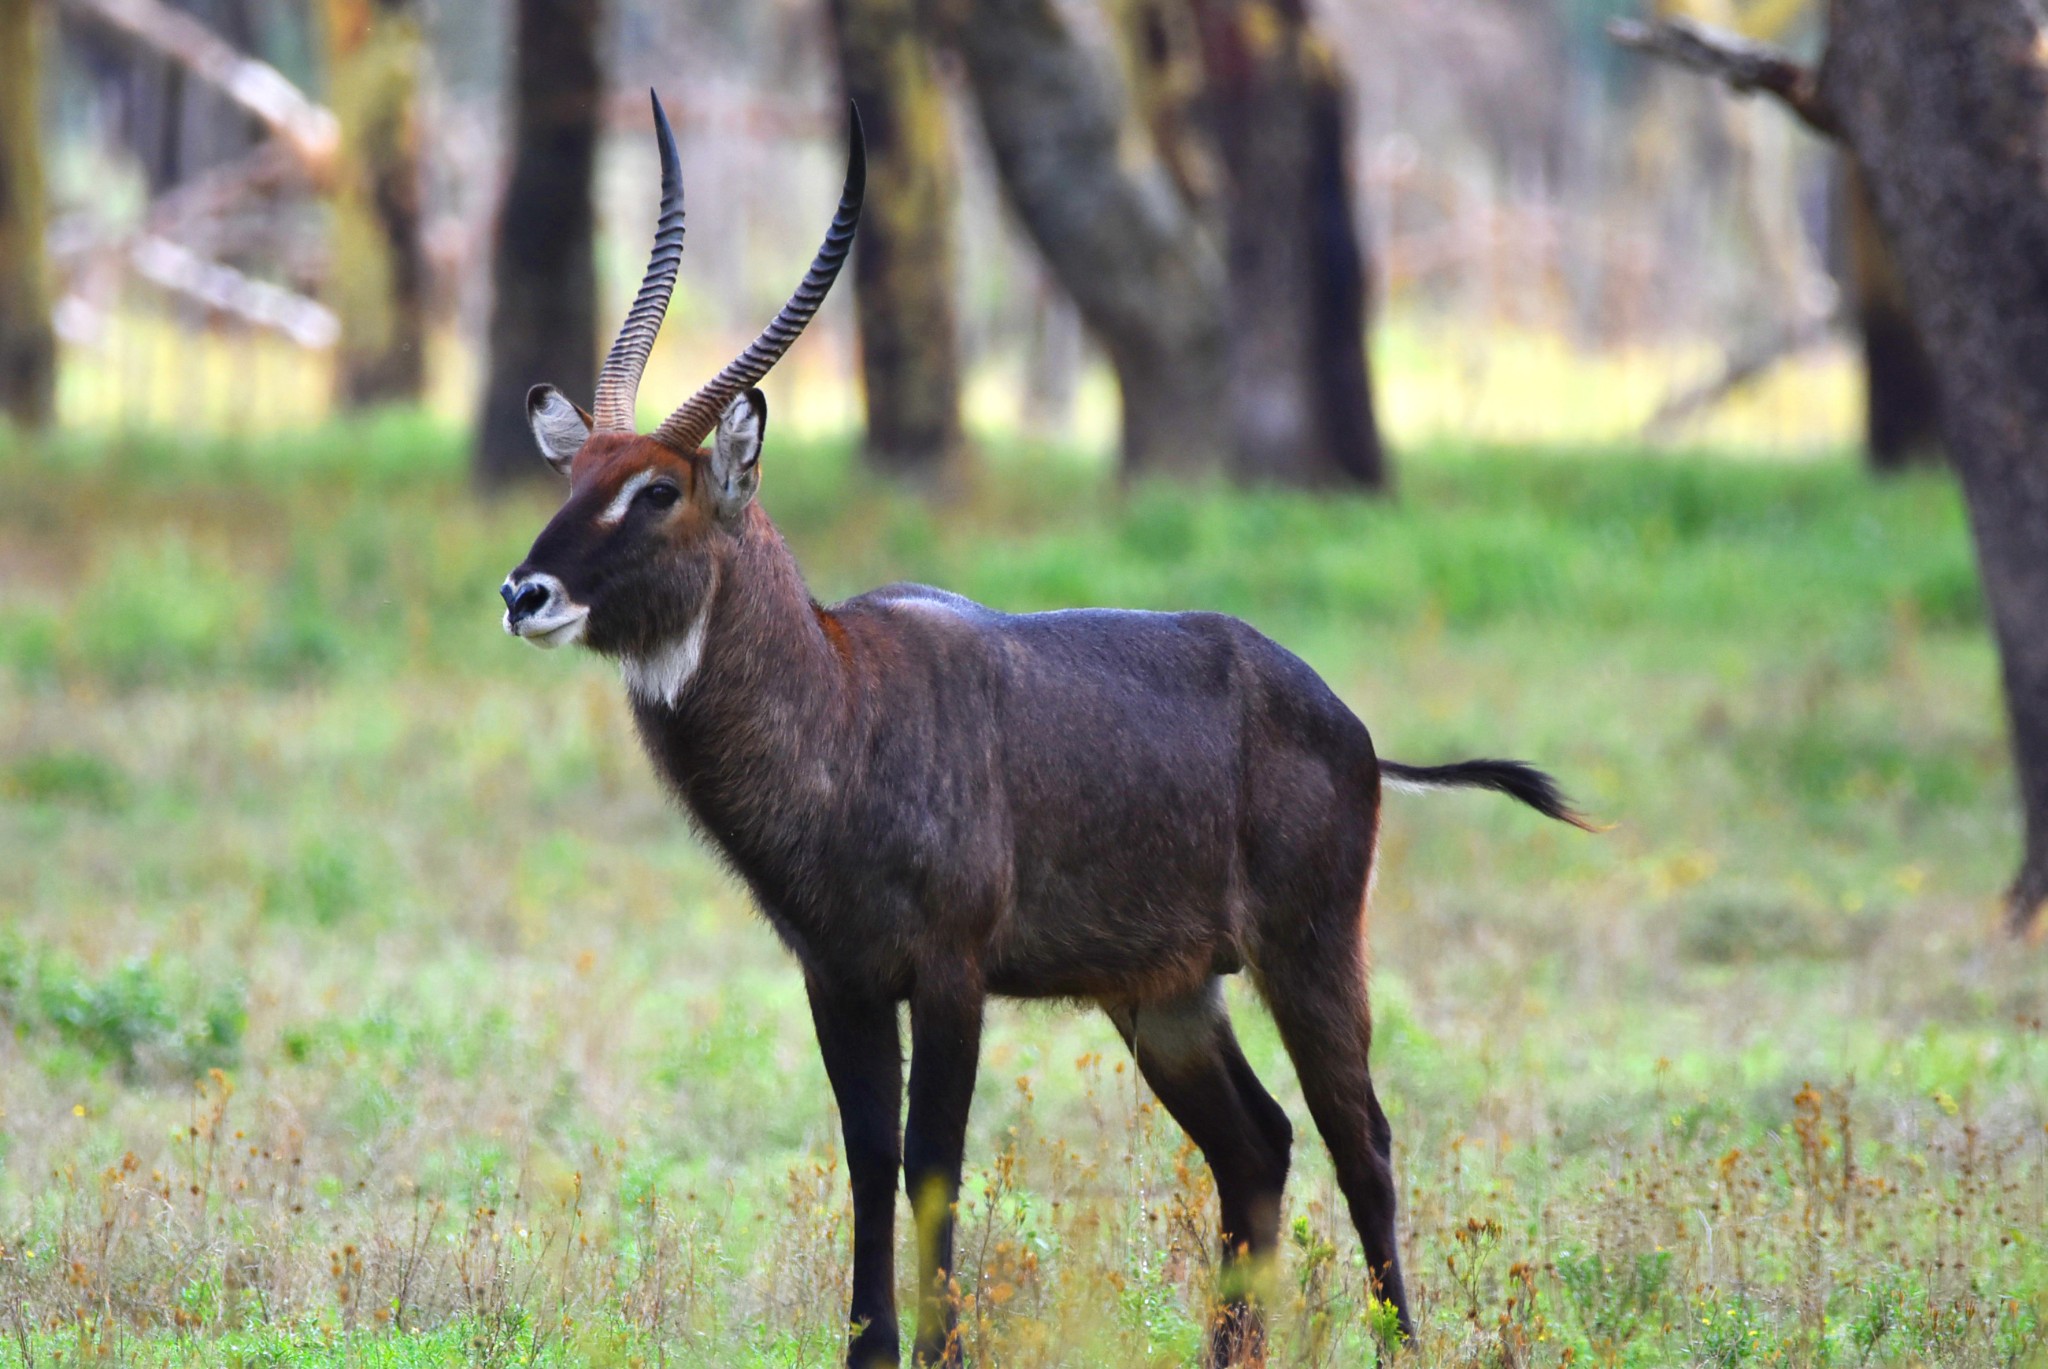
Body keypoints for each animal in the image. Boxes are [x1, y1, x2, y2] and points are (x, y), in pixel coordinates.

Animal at [503, 96, 1589, 1369]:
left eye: (657, 490)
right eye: (575, 472)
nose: (525, 592)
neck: (841, 699)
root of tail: (1353, 728)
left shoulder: (950, 971)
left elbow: (932, 1162)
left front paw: (936, 1349)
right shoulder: (839, 975)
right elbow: (867, 1159)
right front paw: (869, 1349)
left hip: (1310, 950)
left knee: (1357, 1137)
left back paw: (1399, 1343)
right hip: (1165, 992)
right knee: (1257, 1143)